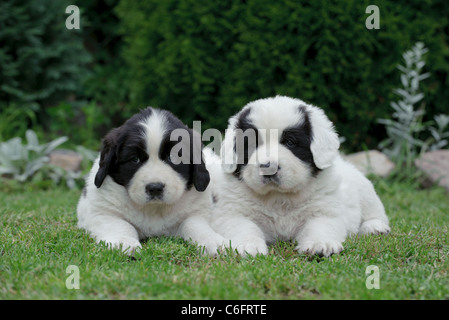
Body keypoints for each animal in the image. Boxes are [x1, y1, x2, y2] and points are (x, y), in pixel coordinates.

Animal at [75, 107, 228, 255]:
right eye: (135, 159)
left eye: (173, 158)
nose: (155, 188)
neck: (154, 209)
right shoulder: (102, 212)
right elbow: (121, 224)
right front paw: (124, 242)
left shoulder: (197, 211)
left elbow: (195, 224)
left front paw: (213, 241)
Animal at [210, 95, 388, 258]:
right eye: (251, 144)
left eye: (290, 142)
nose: (268, 167)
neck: (279, 198)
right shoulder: (233, 212)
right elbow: (243, 226)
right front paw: (247, 246)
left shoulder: (324, 209)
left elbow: (320, 226)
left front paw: (319, 244)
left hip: (364, 188)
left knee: (375, 211)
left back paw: (375, 227)